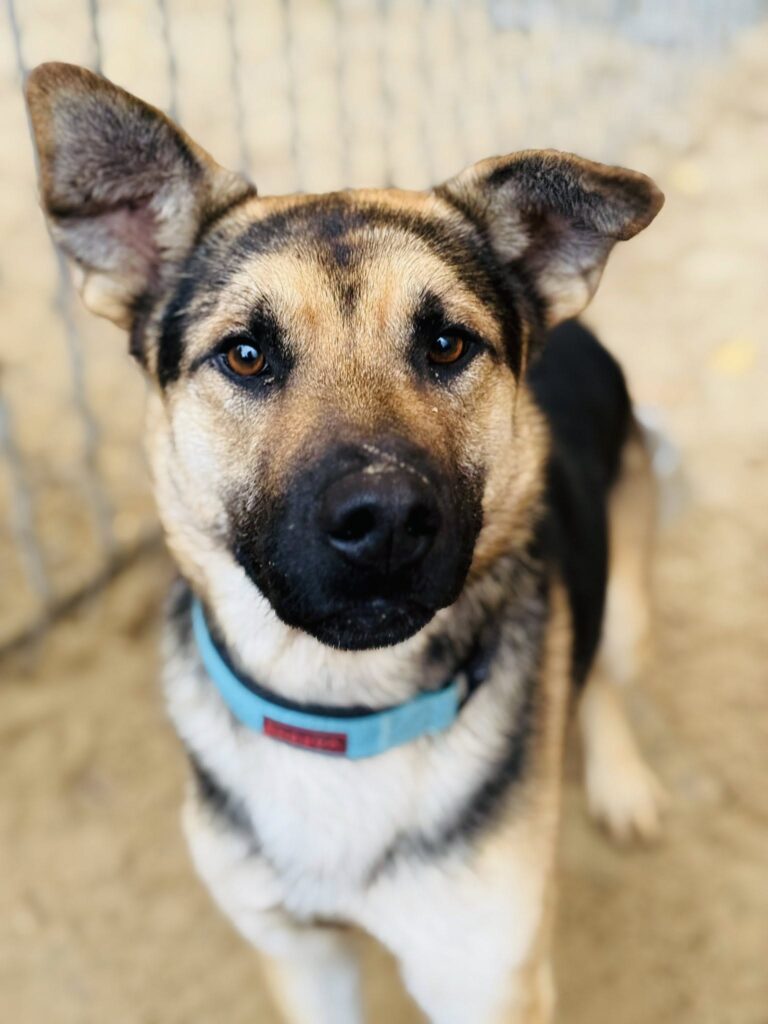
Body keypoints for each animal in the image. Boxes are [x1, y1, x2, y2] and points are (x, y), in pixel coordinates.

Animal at [26, 62, 666, 1023]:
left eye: (447, 343)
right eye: (246, 354)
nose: (387, 518)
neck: (338, 713)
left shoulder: (487, 979)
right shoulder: (300, 955)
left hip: (625, 607)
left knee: (603, 677)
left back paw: (622, 778)